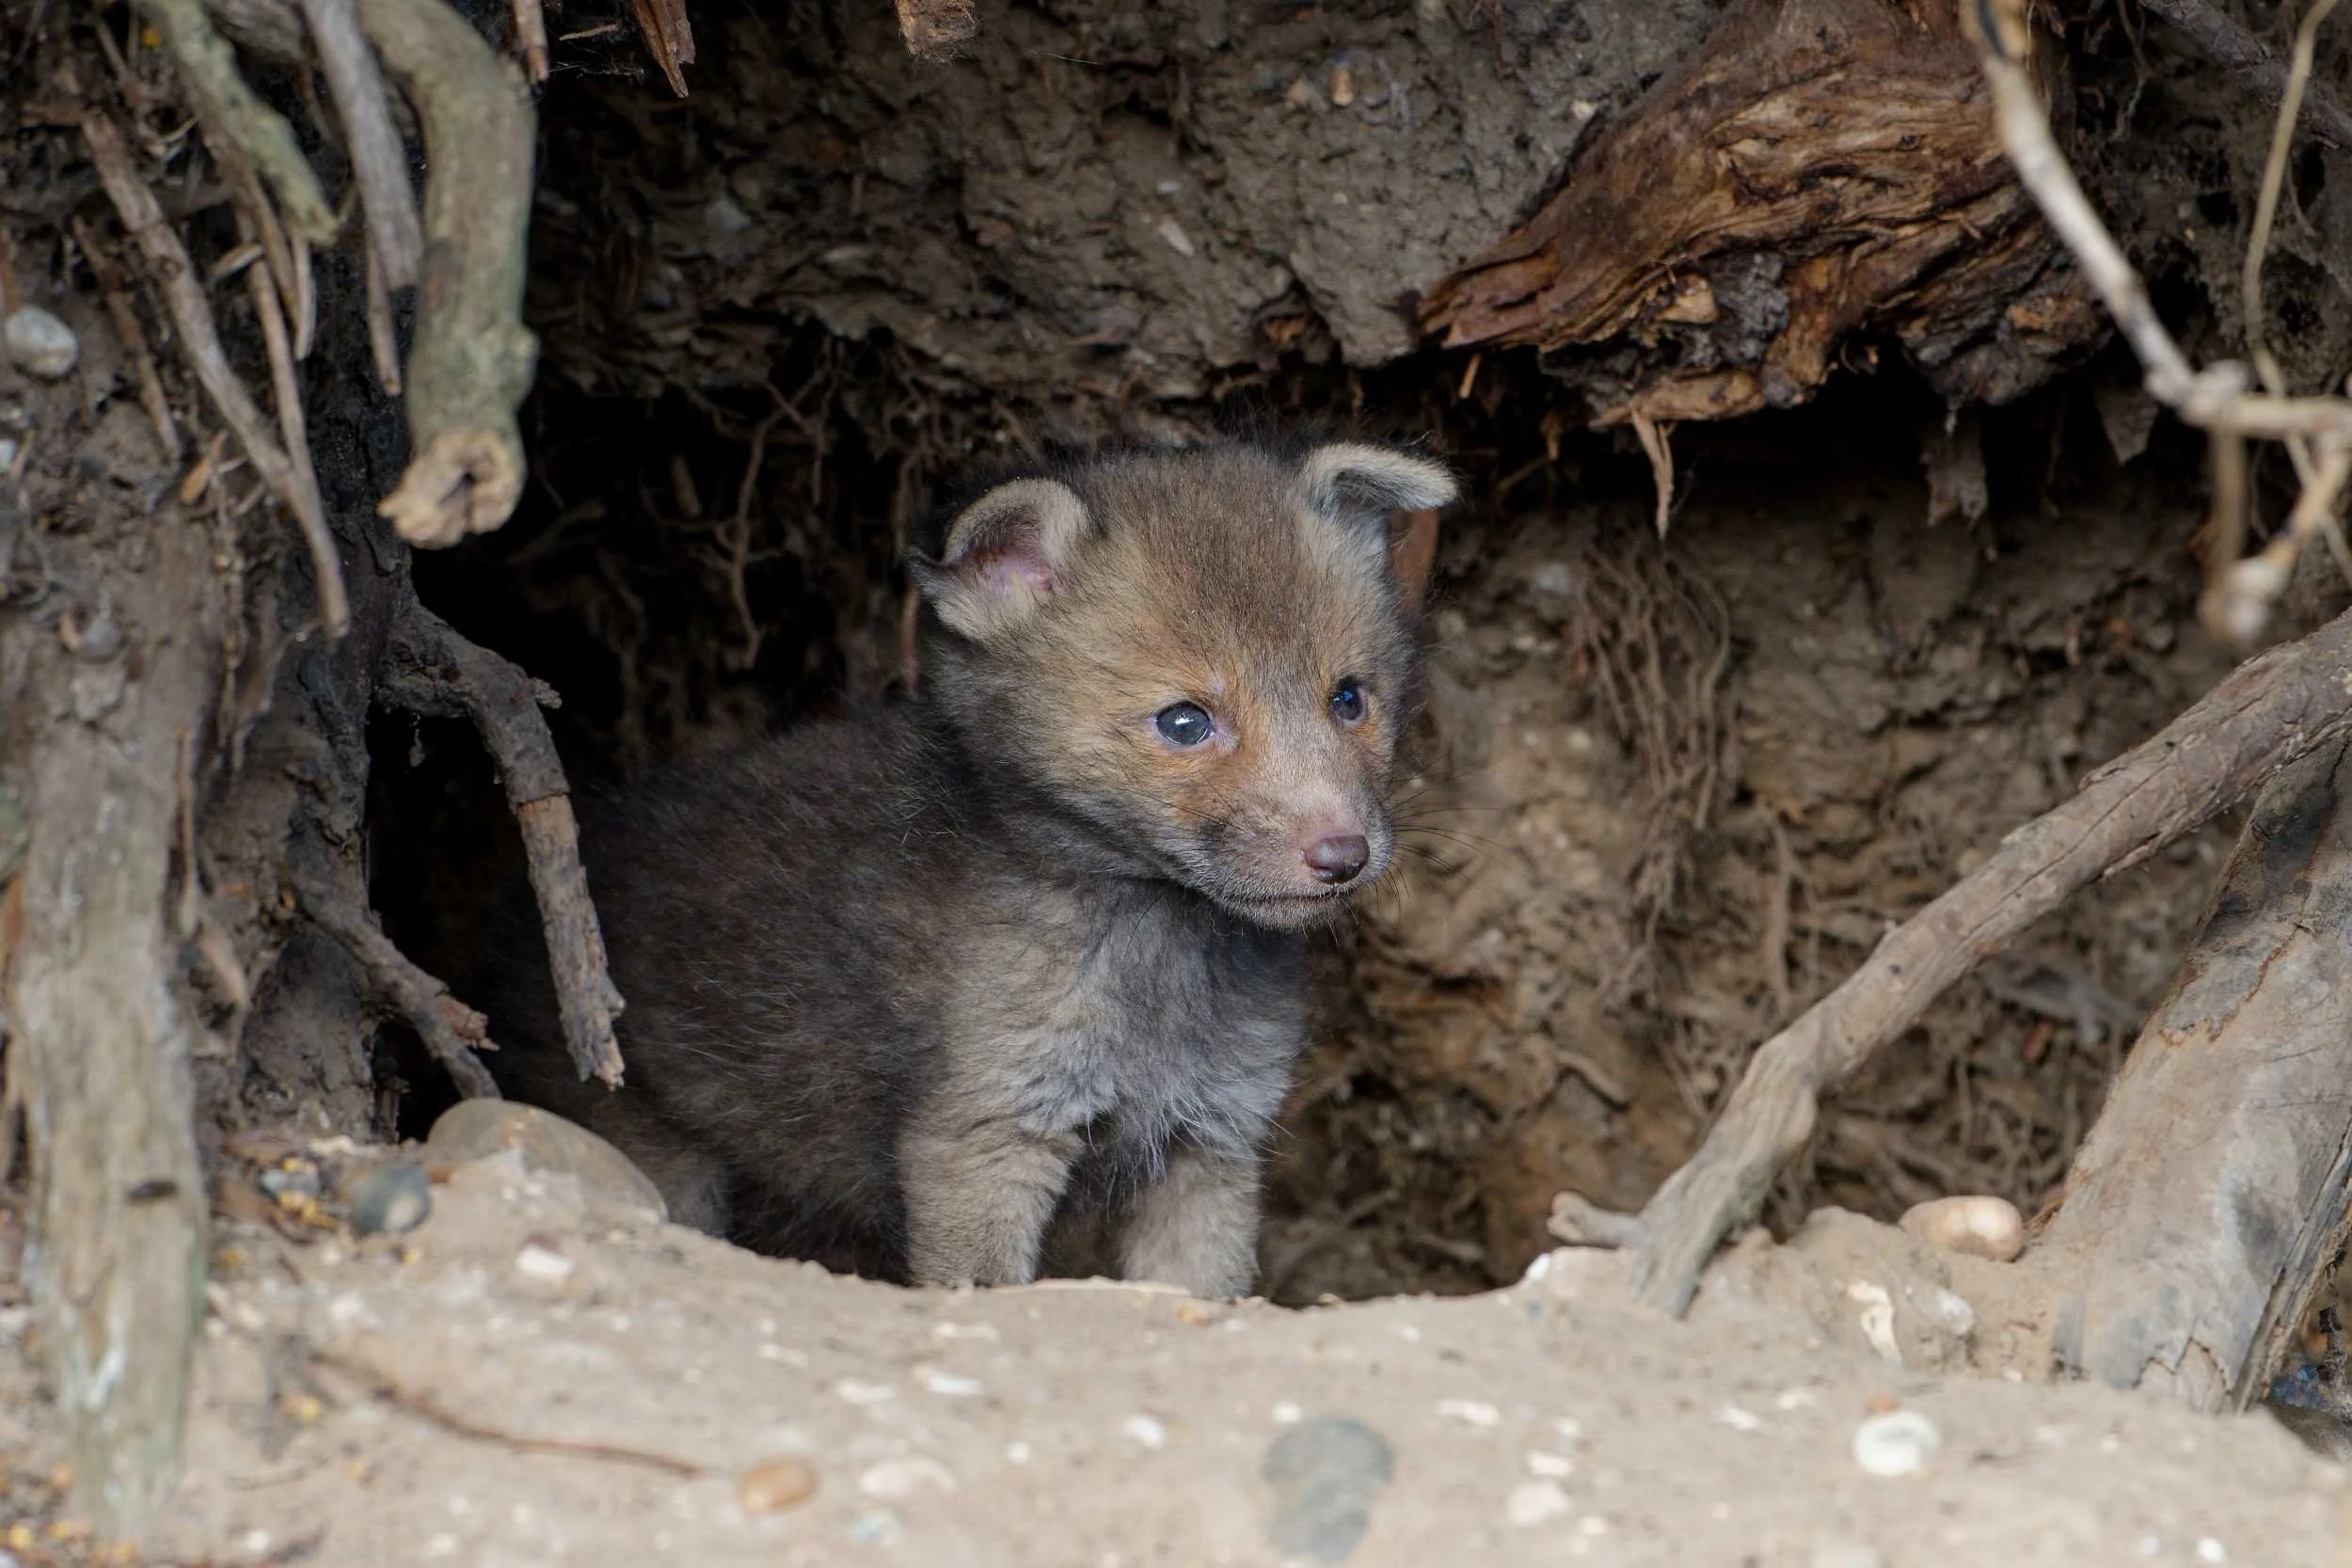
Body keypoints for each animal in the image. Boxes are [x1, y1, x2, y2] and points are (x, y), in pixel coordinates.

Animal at [487, 439, 1457, 1297]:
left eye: (1350, 699)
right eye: (1185, 722)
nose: (1343, 855)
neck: (1159, 970)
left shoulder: (1212, 1140)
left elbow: (1201, 1293)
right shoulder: (984, 1134)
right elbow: (979, 1288)